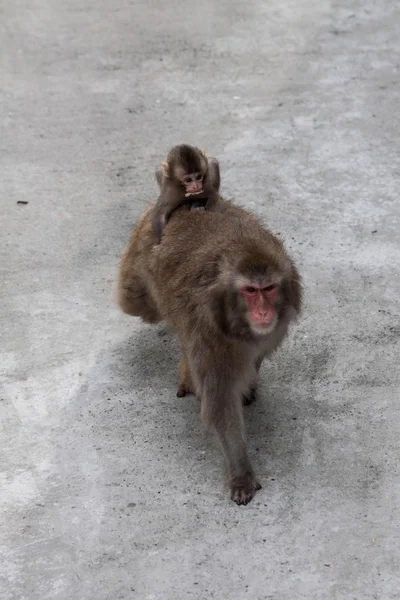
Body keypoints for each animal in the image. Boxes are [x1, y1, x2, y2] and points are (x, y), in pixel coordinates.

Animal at [117, 198, 302, 506]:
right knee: (135, 303)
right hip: (139, 259)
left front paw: (248, 383)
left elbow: (253, 358)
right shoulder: (211, 335)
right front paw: (241, 476)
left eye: (269, 289)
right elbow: (221, 401)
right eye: (251, 291)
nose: (264, 312)